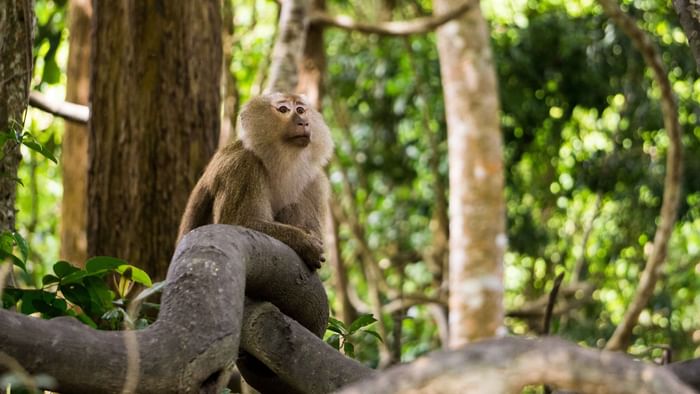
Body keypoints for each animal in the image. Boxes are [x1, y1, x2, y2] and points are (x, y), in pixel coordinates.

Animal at [179, 93, 334, 270]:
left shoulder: (314, 182)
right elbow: (238, 222)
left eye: (301, 110)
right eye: (283, 109)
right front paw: (302, 240)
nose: (303, 122)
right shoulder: (243, 166)